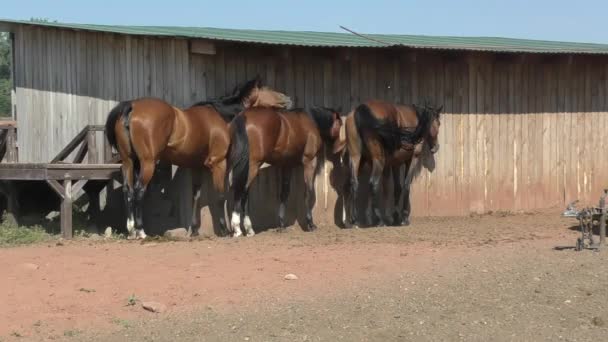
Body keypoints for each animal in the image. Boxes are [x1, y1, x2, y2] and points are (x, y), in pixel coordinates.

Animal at [104, 76, 292, 239]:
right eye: (267, 88)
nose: (288, 99)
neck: (221, 115)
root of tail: (132, 106)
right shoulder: (218, 164)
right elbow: (220, 196)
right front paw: (227, 230)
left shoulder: (197, 167)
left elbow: (196, 196)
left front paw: (194, 230)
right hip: (147, 163)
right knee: (139, 191)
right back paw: (141, 231)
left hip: (129, 162)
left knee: (128, 191)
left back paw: (131, 231)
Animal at [227, 105, 344, 236]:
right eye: (340, 124)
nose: (339, 148)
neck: (312, 120)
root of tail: (244, 116)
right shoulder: (309, 161)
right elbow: (308, 192)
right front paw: (310, 224)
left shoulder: (287, 165)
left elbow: (284, 194)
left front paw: (281, 225)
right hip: (253, 165)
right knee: (242, 192)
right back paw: (238, 229)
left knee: (244, 193)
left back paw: (248, 229)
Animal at [342, 99, 442, 228]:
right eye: (438, 123)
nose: (436, 147)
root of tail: (360, 110)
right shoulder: (411, 160)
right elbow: (406, 184)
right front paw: (404, 217)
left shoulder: (395, 163)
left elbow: (397, 188)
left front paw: (395, 217)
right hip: (378, 160)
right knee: (373, 183)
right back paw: (379, 220)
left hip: (357, 159)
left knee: (352, 184)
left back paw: (352, 221)